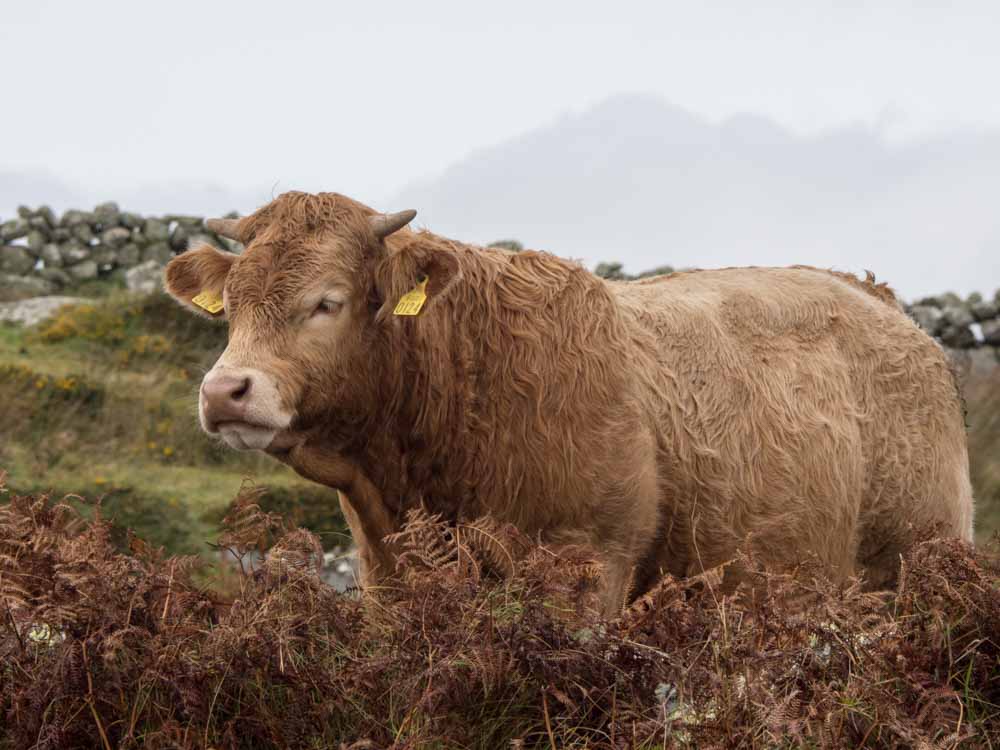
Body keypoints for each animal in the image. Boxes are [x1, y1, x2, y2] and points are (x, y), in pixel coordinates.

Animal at [164, 191, 974, 614]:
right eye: (231, 306)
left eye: (326, 302)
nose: (224, 390)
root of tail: (881, 302)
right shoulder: (385, 575)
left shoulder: (588, 568)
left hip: (916, 564)